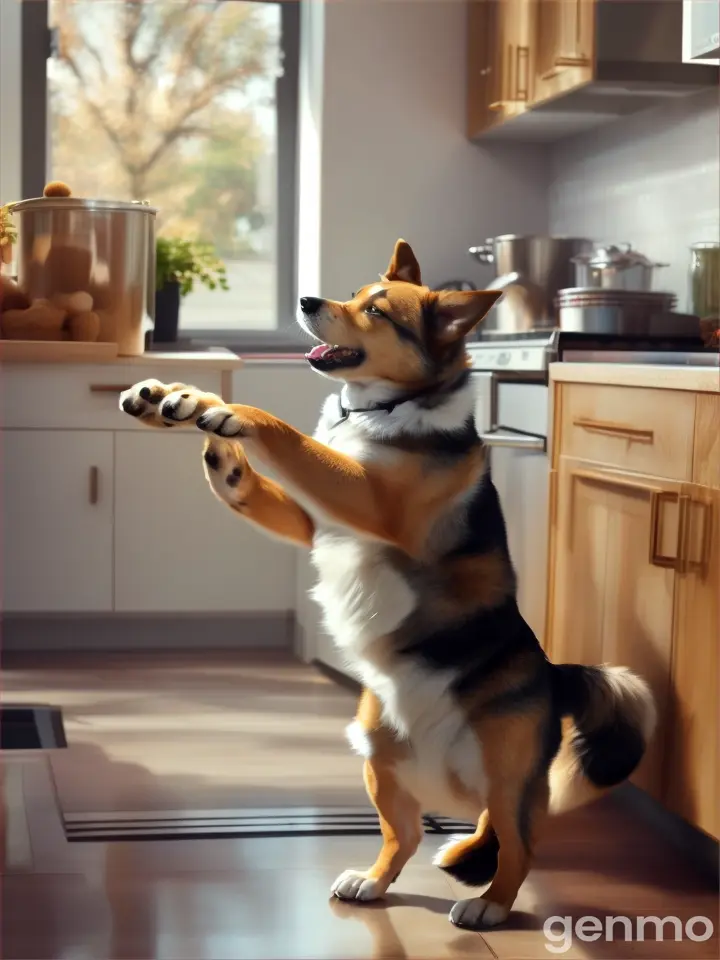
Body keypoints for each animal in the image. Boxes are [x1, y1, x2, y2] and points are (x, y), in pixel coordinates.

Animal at [119, 236, 660, 928]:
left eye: (377, 311)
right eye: (353, 294)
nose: (306, 299)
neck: (381, 407)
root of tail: (553, 673)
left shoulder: (368, 500)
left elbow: (277, 430)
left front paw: (223, 409)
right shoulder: (311, 520)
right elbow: (241, 476)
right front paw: (181, 400)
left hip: (506, 770)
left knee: (519, 842)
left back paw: (491, 904)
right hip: (379, 754)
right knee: (407, 835)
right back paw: (376, 881)